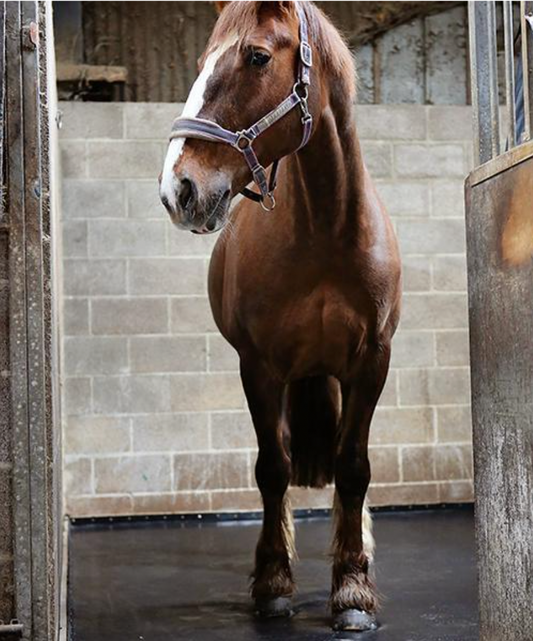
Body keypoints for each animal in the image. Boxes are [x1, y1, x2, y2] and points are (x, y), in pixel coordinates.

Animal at [160, 0, 402, 632]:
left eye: (257, 57)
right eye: (201, 60)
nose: (177, 189)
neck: (326, 230)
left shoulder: (371, 361)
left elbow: (354, 466)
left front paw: (354, 589)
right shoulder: (260, 365)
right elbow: (273, 468)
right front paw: (273, 583)